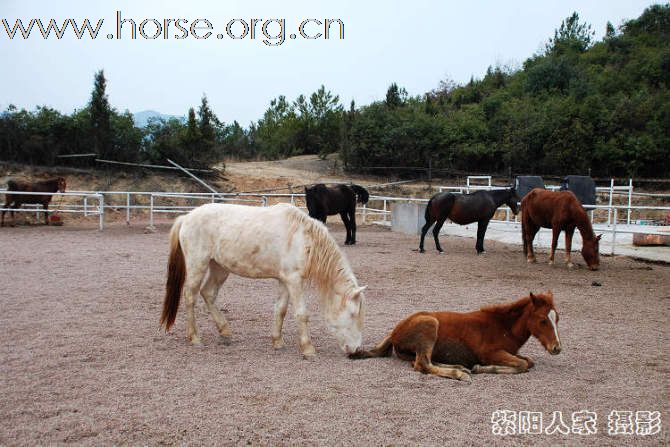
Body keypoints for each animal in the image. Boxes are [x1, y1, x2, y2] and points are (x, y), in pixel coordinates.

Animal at [161, 203, 368, 356]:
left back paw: (225, 331)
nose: (356, 349)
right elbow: (301, 314)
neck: (301, 237)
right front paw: (308, 348)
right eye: (352, 314)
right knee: (190, 296)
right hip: (198, 265)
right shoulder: (294, 281)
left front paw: (277, 341)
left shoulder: (285, 280)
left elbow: (281, 310)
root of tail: (187, 217)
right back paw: (195, 337)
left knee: (208, 293)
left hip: (219, 268)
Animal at [350, 292, 564, 384]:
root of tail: (395, 332)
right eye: (543, 320)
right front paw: (481, 368)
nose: (557, 348)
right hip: (430, 326)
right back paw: (460, 373)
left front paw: (477, 368)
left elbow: (529, 361)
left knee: (423, 361)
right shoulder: (490, 353)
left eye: (557, 318)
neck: (503, 327)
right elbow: (522, 364)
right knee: (422, 365)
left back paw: (459, 367)